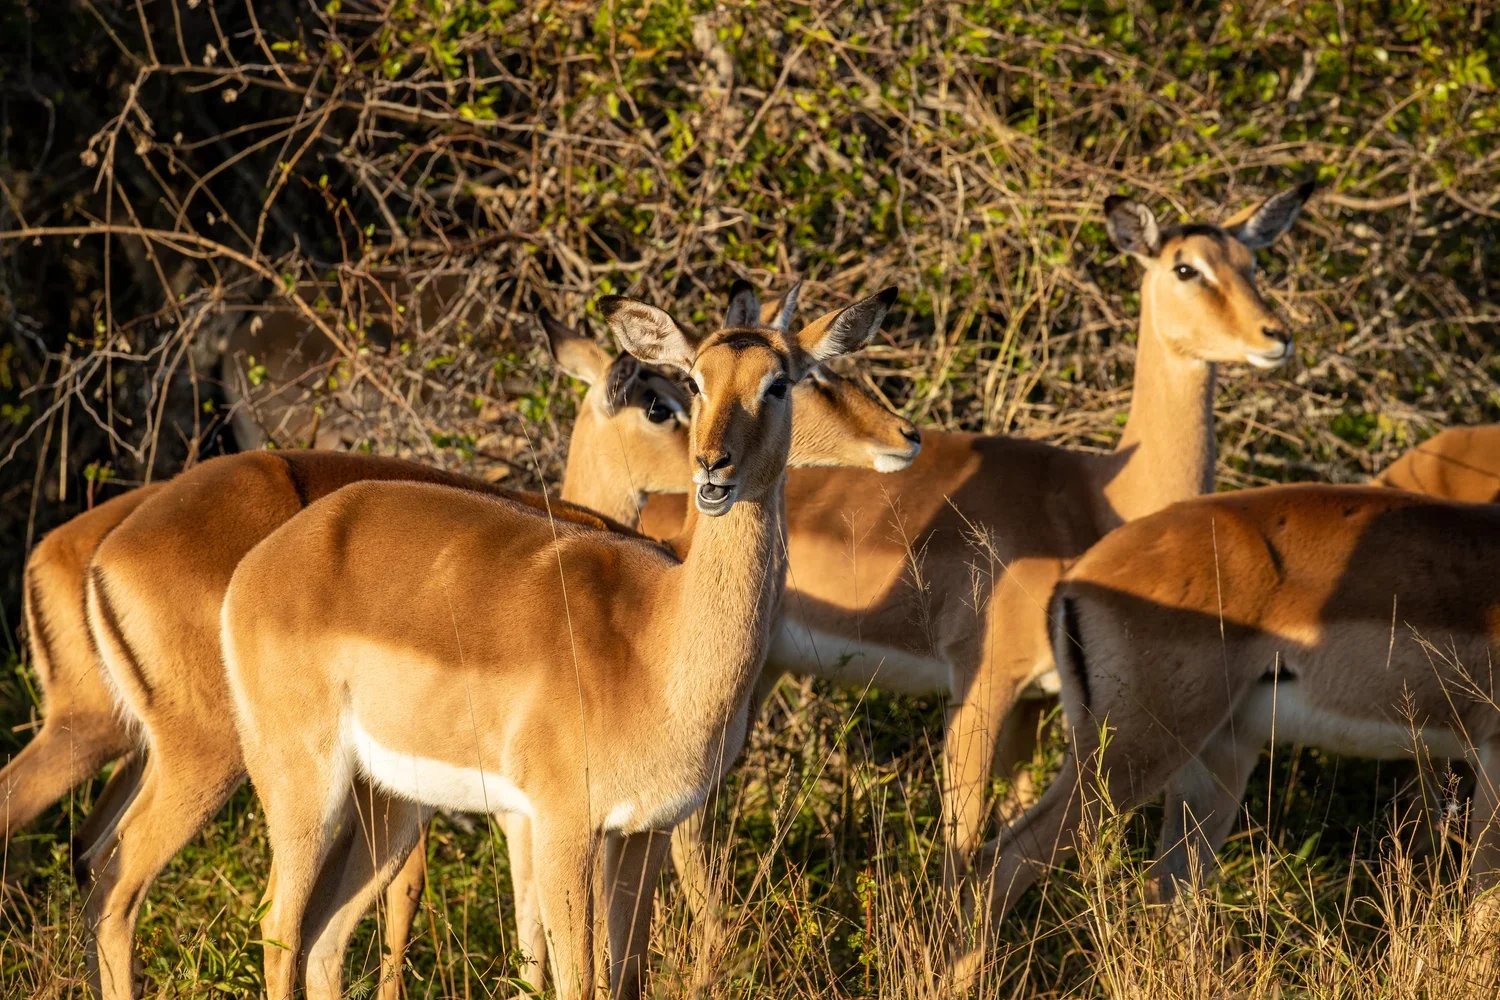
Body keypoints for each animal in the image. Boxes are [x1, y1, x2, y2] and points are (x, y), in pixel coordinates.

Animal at [75, 290, 914, 1000]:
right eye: (692, 383)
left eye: (779, 382)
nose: (713, 469)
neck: (659, 642)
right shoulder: (564, 827)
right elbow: (572, 977)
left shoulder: (642, 834)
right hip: (293, 781)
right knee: (256, 920)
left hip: (387, 804)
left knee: (316, 941)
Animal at [640, 184, 1313, 895]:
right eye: (1187, 268)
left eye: (1251, 262)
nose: (1276, 336)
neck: (1097, 498)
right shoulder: (984, 685)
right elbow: (964, 835)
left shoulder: (1035, 704)